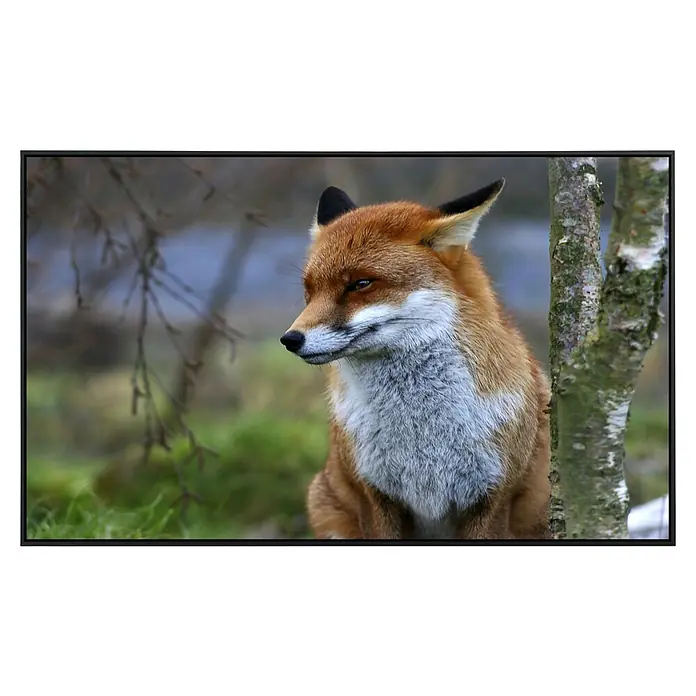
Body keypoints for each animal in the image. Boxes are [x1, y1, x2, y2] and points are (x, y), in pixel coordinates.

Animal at [280, 179, 551, 539]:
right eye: (309, 291)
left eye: (361, 283)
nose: (290, 340)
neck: (421, 432)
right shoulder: (375, 497)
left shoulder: (493, 498)